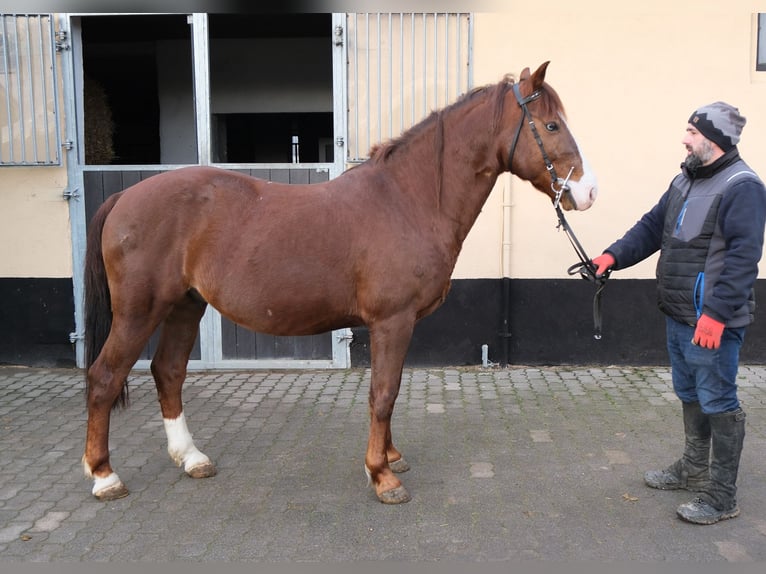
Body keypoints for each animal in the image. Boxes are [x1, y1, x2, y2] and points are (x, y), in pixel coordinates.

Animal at [82, 61, 598, 504]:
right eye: (551, 126)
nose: (588, 191)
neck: (407, 200)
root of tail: (125, 196)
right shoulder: (392, 320)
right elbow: (383, 394)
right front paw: (382, 476)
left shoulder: (399, 324)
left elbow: (391, 390)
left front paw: (391, 457)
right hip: (140, 311)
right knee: (105, 376)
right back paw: (104, 475)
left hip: (185, 306)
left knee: (168, 372)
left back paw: (191, 458)